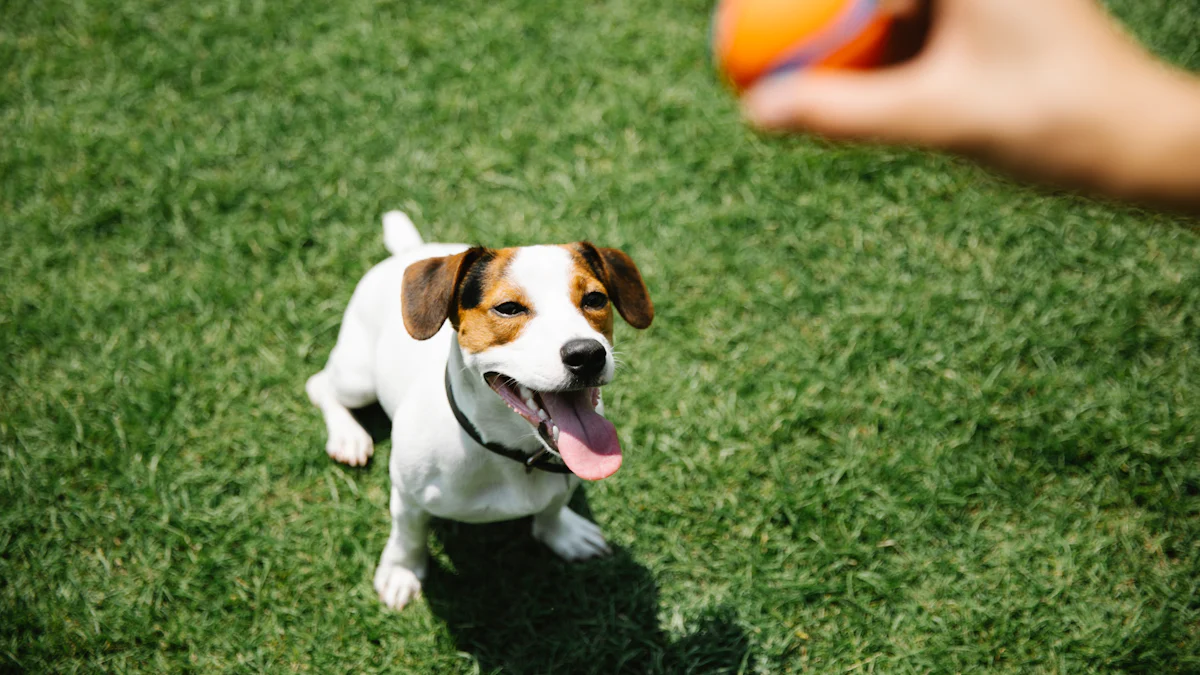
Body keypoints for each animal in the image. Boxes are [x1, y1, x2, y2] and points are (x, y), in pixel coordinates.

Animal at [304, 211, 652, 610]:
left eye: (595, 299)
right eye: (508, 308)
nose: (587, 354)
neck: (506, 451)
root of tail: (411, 250)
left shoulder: (563, 481)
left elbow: (551, 509)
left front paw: (564, 533)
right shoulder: (406, 496)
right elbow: (407, 535)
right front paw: (401, 571)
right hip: (357, 378)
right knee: (320, 386)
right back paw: (348, 437)